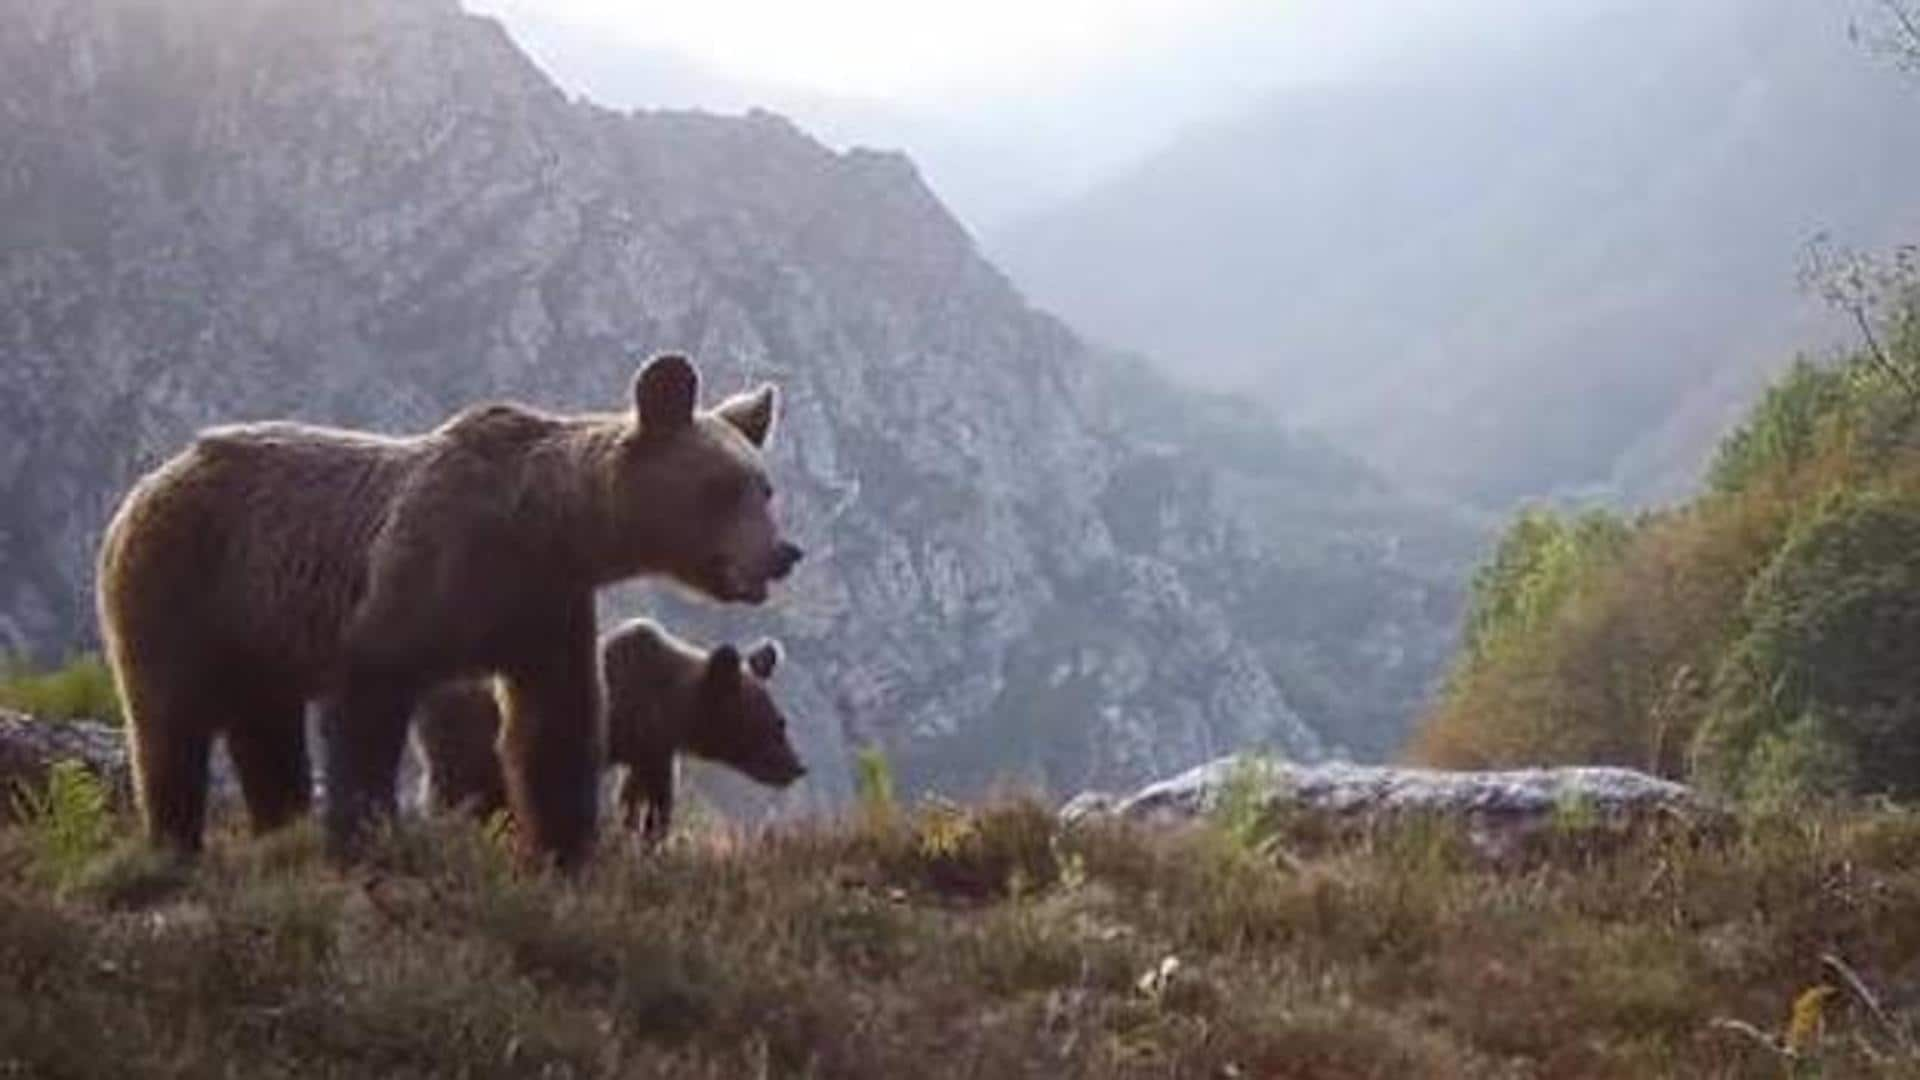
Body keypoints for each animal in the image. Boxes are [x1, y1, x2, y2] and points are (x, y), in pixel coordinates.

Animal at [416, 614, 806, 841]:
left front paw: (643, 831)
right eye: (770, 725)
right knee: (454, 792)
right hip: (467, 737)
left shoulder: (652, 748)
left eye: (781, 721)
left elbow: (646, 795)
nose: (797, 767)